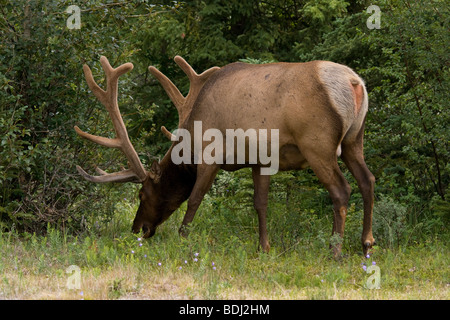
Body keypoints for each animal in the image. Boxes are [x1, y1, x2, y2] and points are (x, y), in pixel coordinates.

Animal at [74, 54, 376, 255]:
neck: (191, 142)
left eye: (142, 194)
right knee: (367, 180)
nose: (139, 229)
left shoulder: (212, 153)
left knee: (341, 189)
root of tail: (354, 83)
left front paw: (183, 238)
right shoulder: (260, 159)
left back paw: (335, 250)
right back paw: (366, 242)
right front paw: (263, 247)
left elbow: (195, 199)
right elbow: (260, 203)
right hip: (354, 138)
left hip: (317, 142)